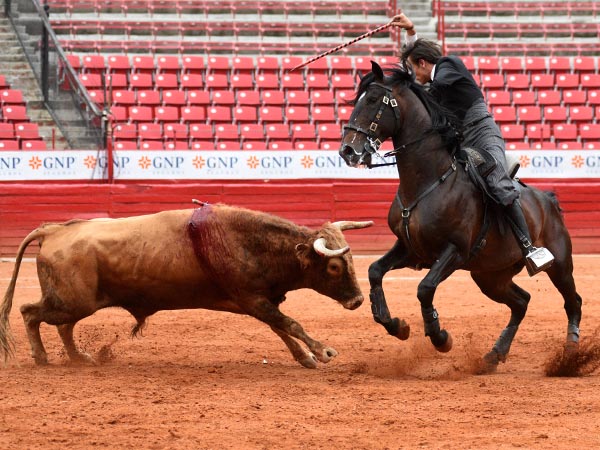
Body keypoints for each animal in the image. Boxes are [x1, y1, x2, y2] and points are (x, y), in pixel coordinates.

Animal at [0, 204, 372, 370]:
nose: (357, 300)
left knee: (63, 326)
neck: (251, 242)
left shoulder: (255, 301)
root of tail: (53, 229)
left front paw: (305, 357)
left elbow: (279, 327)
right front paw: (322, 351)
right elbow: (289, 323)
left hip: (76, 301)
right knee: (30, 313)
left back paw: (80, 358)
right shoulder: (252, 299)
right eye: (335, 266)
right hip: (71, 300)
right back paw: (42, 357)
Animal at [340, 62, 584, 372]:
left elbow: (425, 287)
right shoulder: (410, 249)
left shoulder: (454, 251)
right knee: (521, 302)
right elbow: (374, 270)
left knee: (572, 302)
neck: (429, 180)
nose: (348, 150)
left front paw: (440, 337)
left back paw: (571, 353)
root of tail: (548, 200)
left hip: (560, 264)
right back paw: (494, 355)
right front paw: (396, 325)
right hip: (489, 276)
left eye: (372, 100)